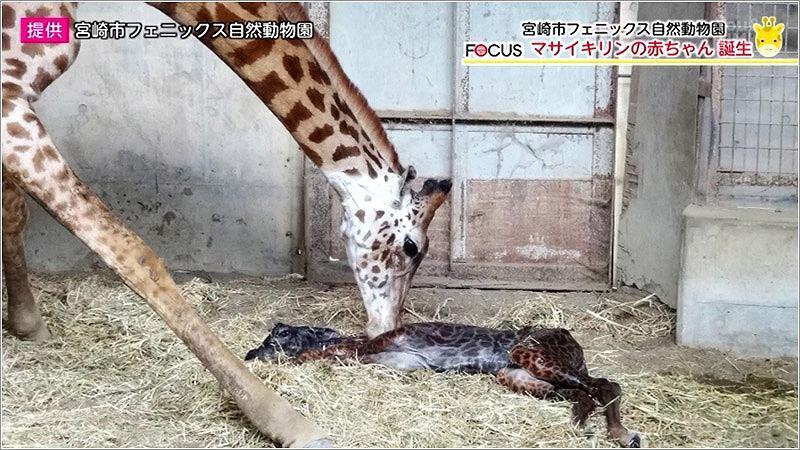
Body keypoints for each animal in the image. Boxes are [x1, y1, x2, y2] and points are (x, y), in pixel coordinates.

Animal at [0, 1, 450, 446]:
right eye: (411, 247)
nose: (386, 328)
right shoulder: (9, 92)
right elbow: (134, 255)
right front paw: (289, 422)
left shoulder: (14, 98)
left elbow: (13, 210)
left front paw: (26, 325)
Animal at [247, 322, 640, 448]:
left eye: (280, 333)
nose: (253, 352)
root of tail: (574, 344)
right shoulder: (387, 360)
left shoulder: (371, 345)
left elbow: (321, 351)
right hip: (518, 375)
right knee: (584, 392)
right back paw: (590, 425)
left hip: (534, 355)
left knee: (606, 385)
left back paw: (615, 432)